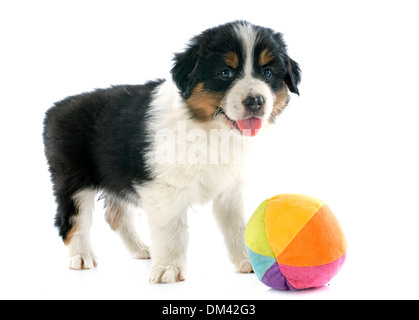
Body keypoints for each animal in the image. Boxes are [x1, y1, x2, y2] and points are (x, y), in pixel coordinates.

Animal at [43, 20, 302, 282]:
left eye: (267, 73)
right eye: (225, 73)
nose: (256, 101)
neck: (211, 130)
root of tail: (55, 109)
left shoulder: (231, 186)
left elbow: (237, 226)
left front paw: (249, 262)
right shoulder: (164, 188)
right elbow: (172, 230)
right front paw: (169, 268)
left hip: (116, 173)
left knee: (116, 215)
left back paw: (141, 249)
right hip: (73, 179)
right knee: (72, 218)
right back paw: (81, 256)